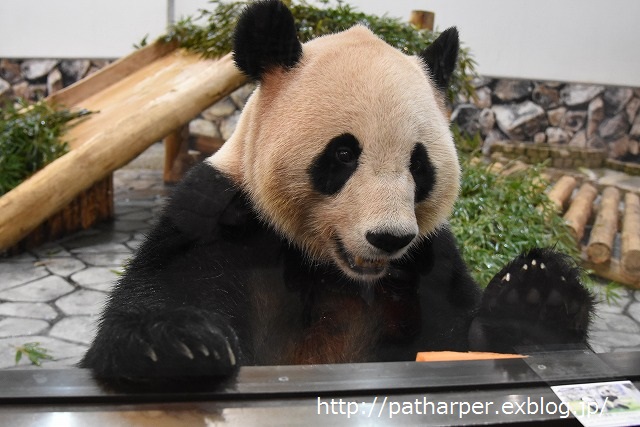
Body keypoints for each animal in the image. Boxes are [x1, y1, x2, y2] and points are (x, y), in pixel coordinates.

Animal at [81, 0, 596, 386]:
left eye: (419, 164)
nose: (389, 238)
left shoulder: (428, 257)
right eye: (344, 154)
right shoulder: (217, 214)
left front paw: (537, 299)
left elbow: (460, 340)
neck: (332, 269)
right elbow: (154, 297)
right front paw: (177, 341)